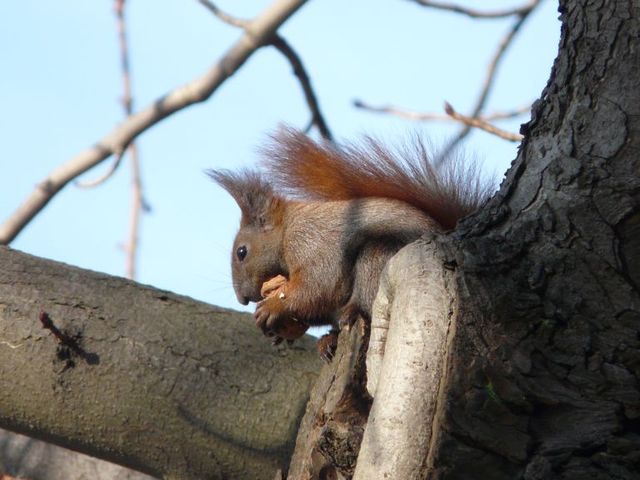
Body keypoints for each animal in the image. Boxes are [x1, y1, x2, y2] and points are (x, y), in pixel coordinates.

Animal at [210, 127, 490, 360]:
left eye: (242, 252)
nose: (242, 299)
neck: (288, 229)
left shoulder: (311, 241)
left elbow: (320, 285)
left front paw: (274, 306)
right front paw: (283, 330)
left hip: (380, 254)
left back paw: (352, 312)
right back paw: (328, 342)